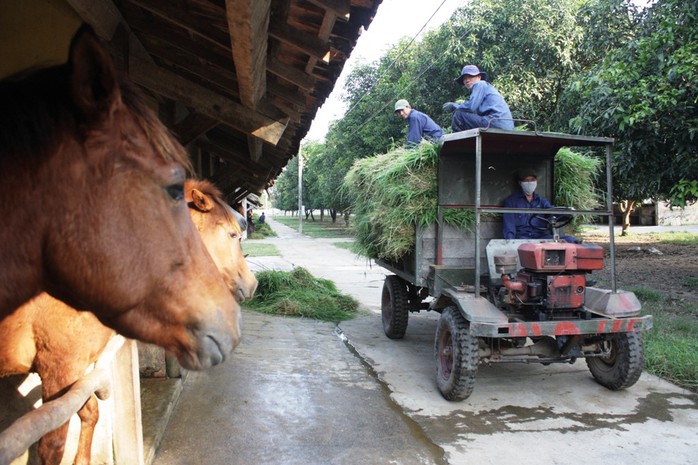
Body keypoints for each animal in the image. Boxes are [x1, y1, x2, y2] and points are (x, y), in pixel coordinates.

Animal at [0, 179, 256, 464]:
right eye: (232, 235)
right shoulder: (59, 368)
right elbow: (53, 444)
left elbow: (90, 412)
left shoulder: (79, 373)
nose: (253, 284)